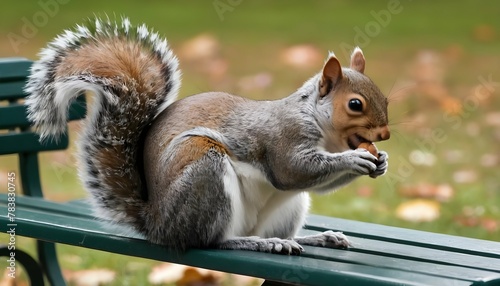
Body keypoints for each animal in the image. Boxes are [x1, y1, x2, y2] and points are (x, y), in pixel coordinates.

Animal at [24, 17, 390, 255]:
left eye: (385, 99)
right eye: (355, 104)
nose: (385, 135)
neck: (326, 133)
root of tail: (159, 225)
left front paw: (380, 162)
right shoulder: (283, 138)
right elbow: (293, 171)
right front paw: (354, 159)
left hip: (288, 207)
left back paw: (310, 239)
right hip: (205, 171)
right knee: (211, 241)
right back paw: (256, 242)